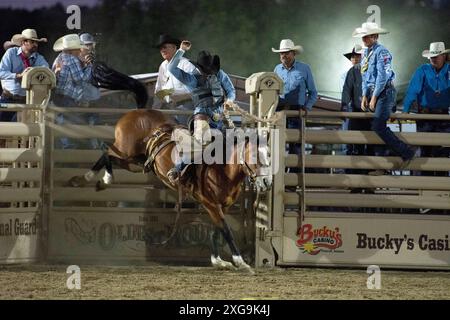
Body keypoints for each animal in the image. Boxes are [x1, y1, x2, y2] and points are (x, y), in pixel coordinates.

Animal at [68, 109, 272, 272]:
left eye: (269, 154)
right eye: (255, 156)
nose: (267, 182)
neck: (221, 167)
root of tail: (133, 113)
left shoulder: (223, 206)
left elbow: (217, 230)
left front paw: (219, 261)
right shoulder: (211, 204)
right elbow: (226, 230)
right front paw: (241, 262)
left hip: (136, 162)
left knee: (108, 156)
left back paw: (87, 180)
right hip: (125, 150)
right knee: (106, 152)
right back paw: (99, 179)